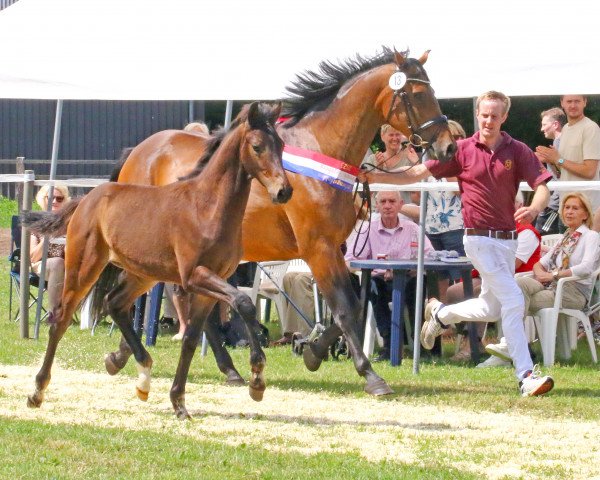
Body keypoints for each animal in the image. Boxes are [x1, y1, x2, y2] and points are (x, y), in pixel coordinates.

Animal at [24, 102, 292, 420]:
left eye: (281, 145)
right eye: (257, 146)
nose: (284, 191)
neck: (208, 207)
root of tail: (86, 199)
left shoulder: (211, 284)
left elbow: (191, 339)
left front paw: (179, 403)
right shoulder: (194, 276)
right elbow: (244, 303)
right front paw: (257, 379)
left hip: (143, 274)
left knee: (115, 303)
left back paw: (142, 378)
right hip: (83, 267)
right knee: (61, 319)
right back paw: (37, 392)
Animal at [102, 47, 454, 394]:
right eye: (418, 94)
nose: (447, 147)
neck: (323, 151)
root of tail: (139, 151)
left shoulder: (335, 249)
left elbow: (351, 307)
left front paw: (313, 352)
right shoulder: (318, 248)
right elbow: (344, 308)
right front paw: (369, 375)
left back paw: (212, 366)